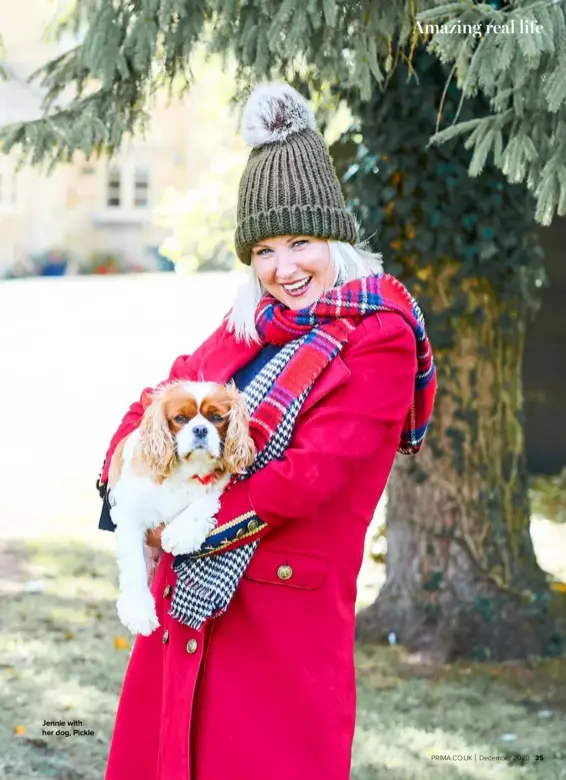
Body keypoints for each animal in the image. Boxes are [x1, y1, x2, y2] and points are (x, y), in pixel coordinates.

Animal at [107, 380, 258, 636]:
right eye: (180, 418)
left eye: (217, 417)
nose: (200, 430)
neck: (187, 471)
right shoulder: (129, 514)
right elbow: (134, 564)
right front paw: (139, 613)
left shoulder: (218, 486)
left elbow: (202, 503)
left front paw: (180, 534)